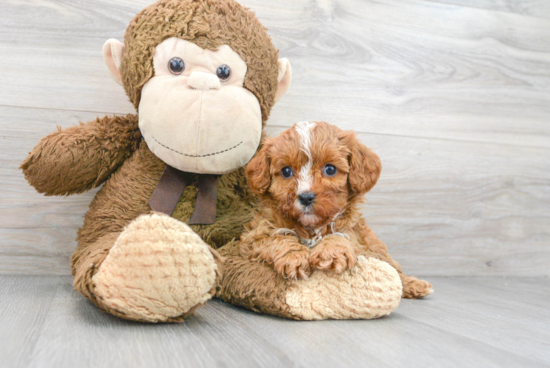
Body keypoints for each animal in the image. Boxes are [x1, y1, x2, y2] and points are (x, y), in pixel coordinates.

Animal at [243, 121, 436, 300]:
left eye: (330, 169)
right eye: (286, 171)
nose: (305, 197)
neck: (312, 227)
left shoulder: (355, 235)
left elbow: (342, 235)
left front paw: (331, 251)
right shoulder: (253, 237)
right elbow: (276, 238)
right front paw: (294, 258)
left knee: (393, 267)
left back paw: (414, 285)